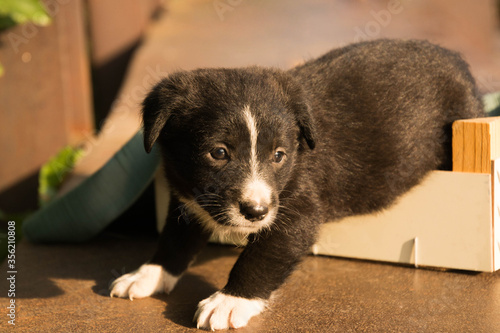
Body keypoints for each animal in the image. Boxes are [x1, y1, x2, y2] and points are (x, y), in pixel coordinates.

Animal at [109, 39, 484, 330]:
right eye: (218, 153)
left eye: (279, 155)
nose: (256, 212)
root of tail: (455, 61)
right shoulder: (188, 200)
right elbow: (174, 239)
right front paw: (148, 274)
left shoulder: (297, 211)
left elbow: (260, 256)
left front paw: (230, 301)